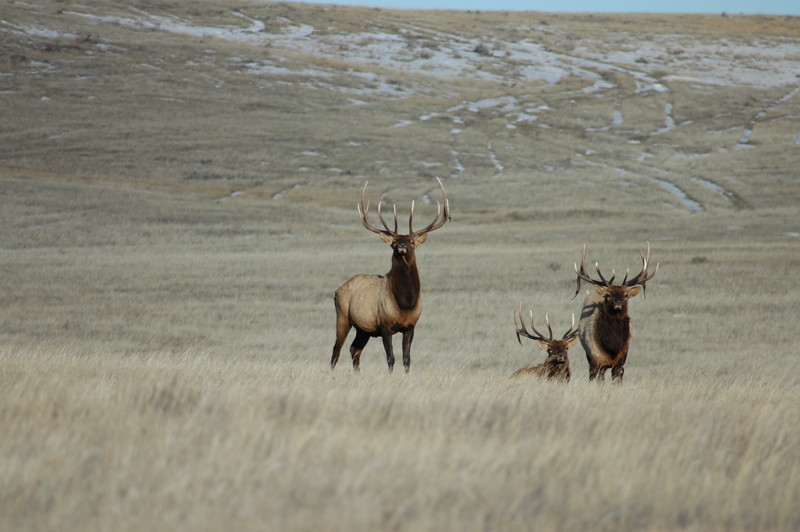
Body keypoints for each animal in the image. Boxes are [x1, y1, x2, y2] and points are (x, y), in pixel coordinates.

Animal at [326, 177, 450, 372]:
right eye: (393, 242)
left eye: (412, 241)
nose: (402, 244)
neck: (405, 303)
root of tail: (338, 289)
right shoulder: (385, 325)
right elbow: (391, 358)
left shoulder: (410, 326)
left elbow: (407, 359)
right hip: (343, 316)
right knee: (336, 350)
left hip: (363, 328)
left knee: (354, 349)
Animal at [572, 243, 660, 380]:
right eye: (608, 295)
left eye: (625, 295)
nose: (618, 301)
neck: (612, 348)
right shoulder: (597, 361)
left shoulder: (621, 362)